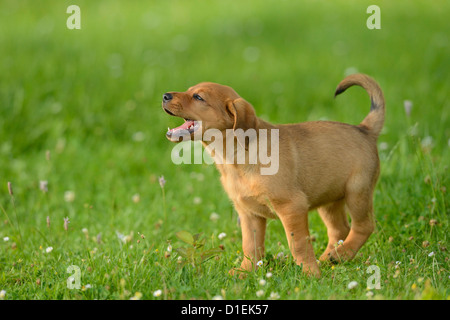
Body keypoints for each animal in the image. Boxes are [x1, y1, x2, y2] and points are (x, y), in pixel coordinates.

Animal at [163, 74, 384, 276]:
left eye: (198, 97)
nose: (165, 95)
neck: (235, 159)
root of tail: (364, 129)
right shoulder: (249, 213)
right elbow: (250, 247)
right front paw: (245, 272)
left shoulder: (292, 206)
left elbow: (298, 245)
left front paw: (310, 274)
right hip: (329, 199)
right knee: (340, 229)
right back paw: (330, 258)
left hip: (357, 191)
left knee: (364, 226)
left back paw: (340, 255)